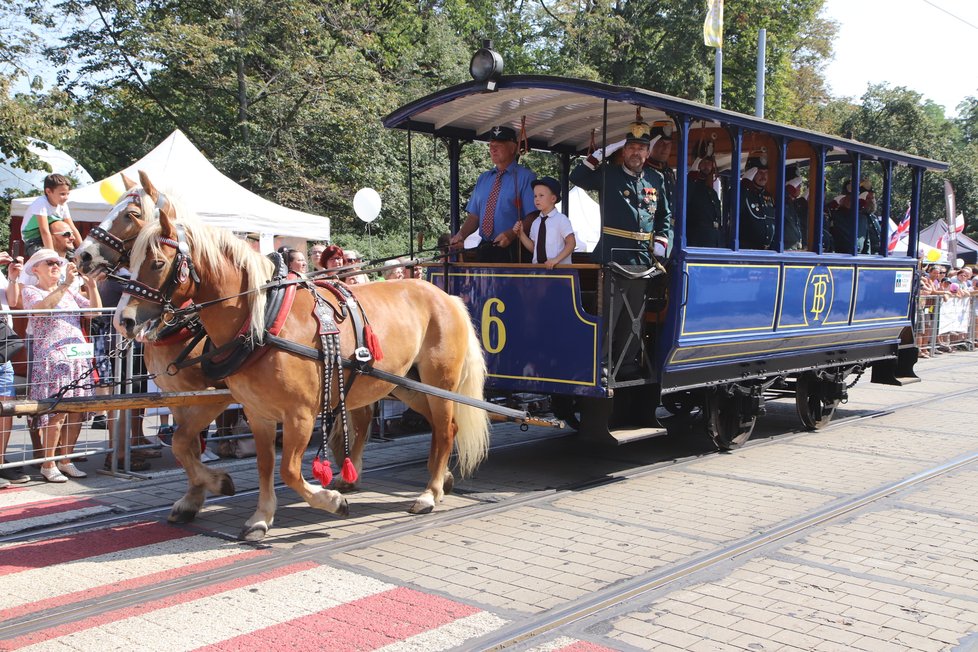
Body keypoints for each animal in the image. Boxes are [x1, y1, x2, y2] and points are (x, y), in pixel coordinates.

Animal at [116, 204, 488, 540]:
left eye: (157, 262)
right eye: (130, 260)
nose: (124, 320)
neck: (262, 320)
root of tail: (445, 296)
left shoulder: (297, 414)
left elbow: (289, 470)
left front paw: (330, 500)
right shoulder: (255, 411)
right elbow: (259, 463)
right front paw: (259, 516)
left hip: (439, 381)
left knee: (444, 429)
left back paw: (429, 492)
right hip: (406, 383)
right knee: (441, 426)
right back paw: (437, 481)